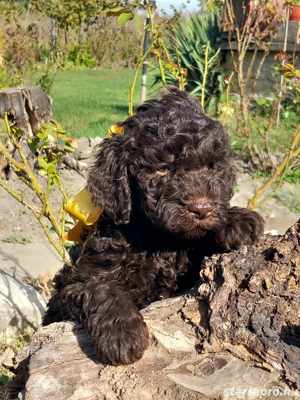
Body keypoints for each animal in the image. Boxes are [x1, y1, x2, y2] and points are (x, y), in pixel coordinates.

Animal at [43, 87, 264, 366]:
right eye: (162, 170)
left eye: (213, 167)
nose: (201, 209)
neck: (159, 241)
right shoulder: (75, 283)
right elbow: (101, 287)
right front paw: (123, 333)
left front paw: (237, 220)